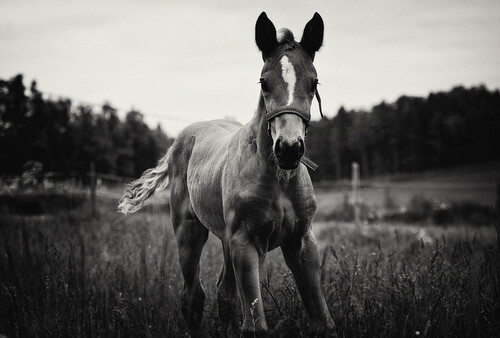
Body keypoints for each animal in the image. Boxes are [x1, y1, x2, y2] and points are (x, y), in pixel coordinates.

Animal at [117, 11, 336, 336]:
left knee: (224, 294)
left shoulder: (301, 242)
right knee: (193, 296)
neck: (278, 179)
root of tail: (179, 140)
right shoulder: (246, 243)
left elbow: (322, 321)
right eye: (263, 82)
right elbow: (255, 326)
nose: (288, 148)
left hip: (225, 240)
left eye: (314, 82)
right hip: (189, 232)